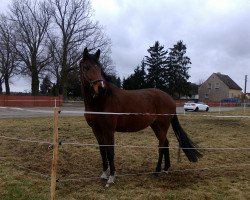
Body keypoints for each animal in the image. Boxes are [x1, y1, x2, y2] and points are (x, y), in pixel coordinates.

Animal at [79, 47, 202, 185]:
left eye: (99, 68)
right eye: (87, 67)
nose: (101, 88)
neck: (102, 101)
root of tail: (170, 98)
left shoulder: (109, 130)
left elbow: (110, 152)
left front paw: (111, 177)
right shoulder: (96, 130)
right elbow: (102, 151)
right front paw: (104, 174)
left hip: (162, 126)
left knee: (161, 145)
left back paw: (157, 171)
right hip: (155, 126)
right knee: (166, 143)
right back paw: (166, 169)